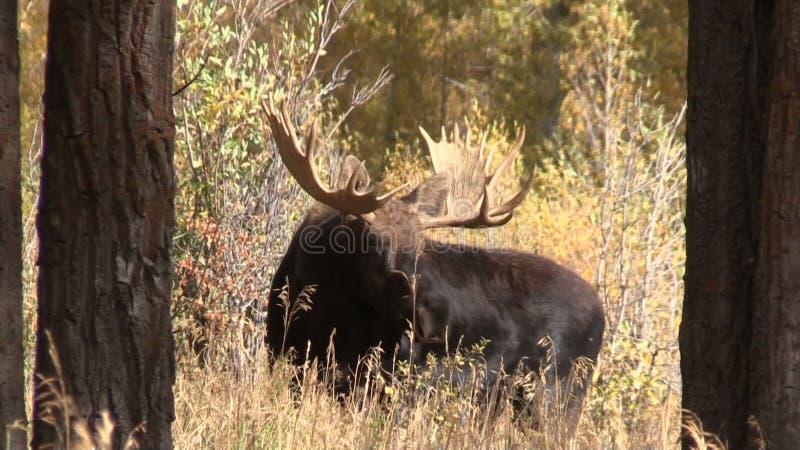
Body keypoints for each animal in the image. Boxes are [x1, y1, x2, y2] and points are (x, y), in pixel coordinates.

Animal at [264, 102, 608, 412]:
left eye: (421, 246)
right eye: (374, 241)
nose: (432, 318)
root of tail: (602, 311)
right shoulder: (285, 357)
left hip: (556, 395)